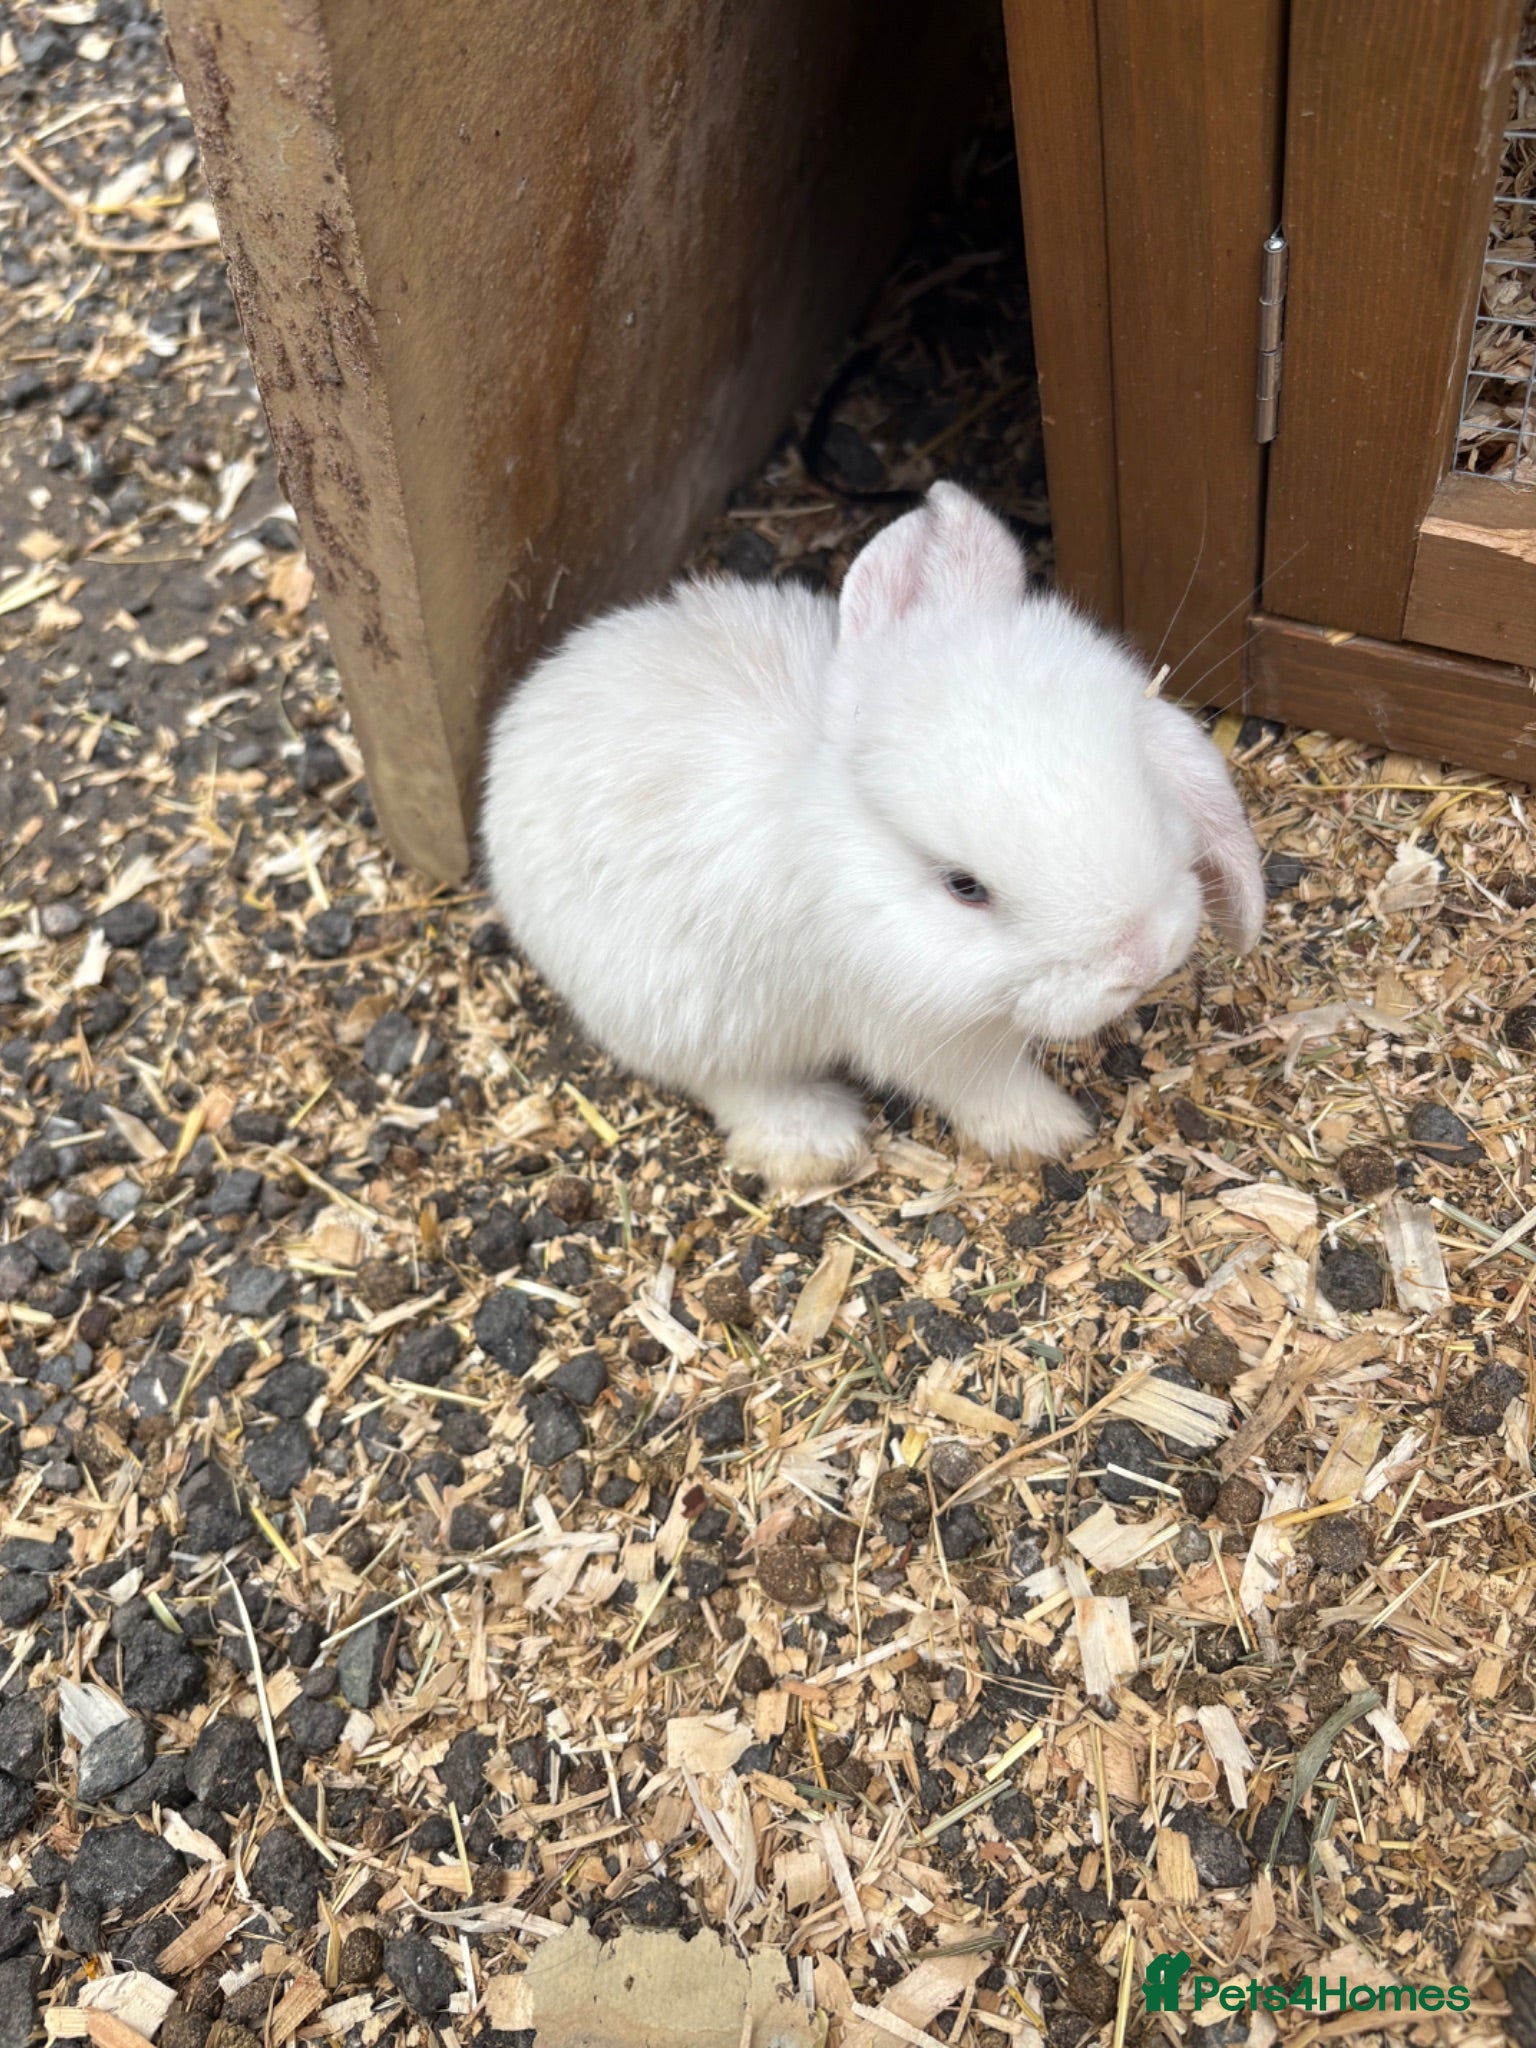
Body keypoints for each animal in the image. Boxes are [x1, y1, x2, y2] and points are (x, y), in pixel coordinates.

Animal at [481, 481, 1265, 1191]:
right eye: (964, 887)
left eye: (1141, 779)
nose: (1144, 958)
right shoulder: (910, 1022)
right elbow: (981, 1082)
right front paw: (1049, 1132)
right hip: (675, 1015)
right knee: (732, 1082)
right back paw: (814, 1146)